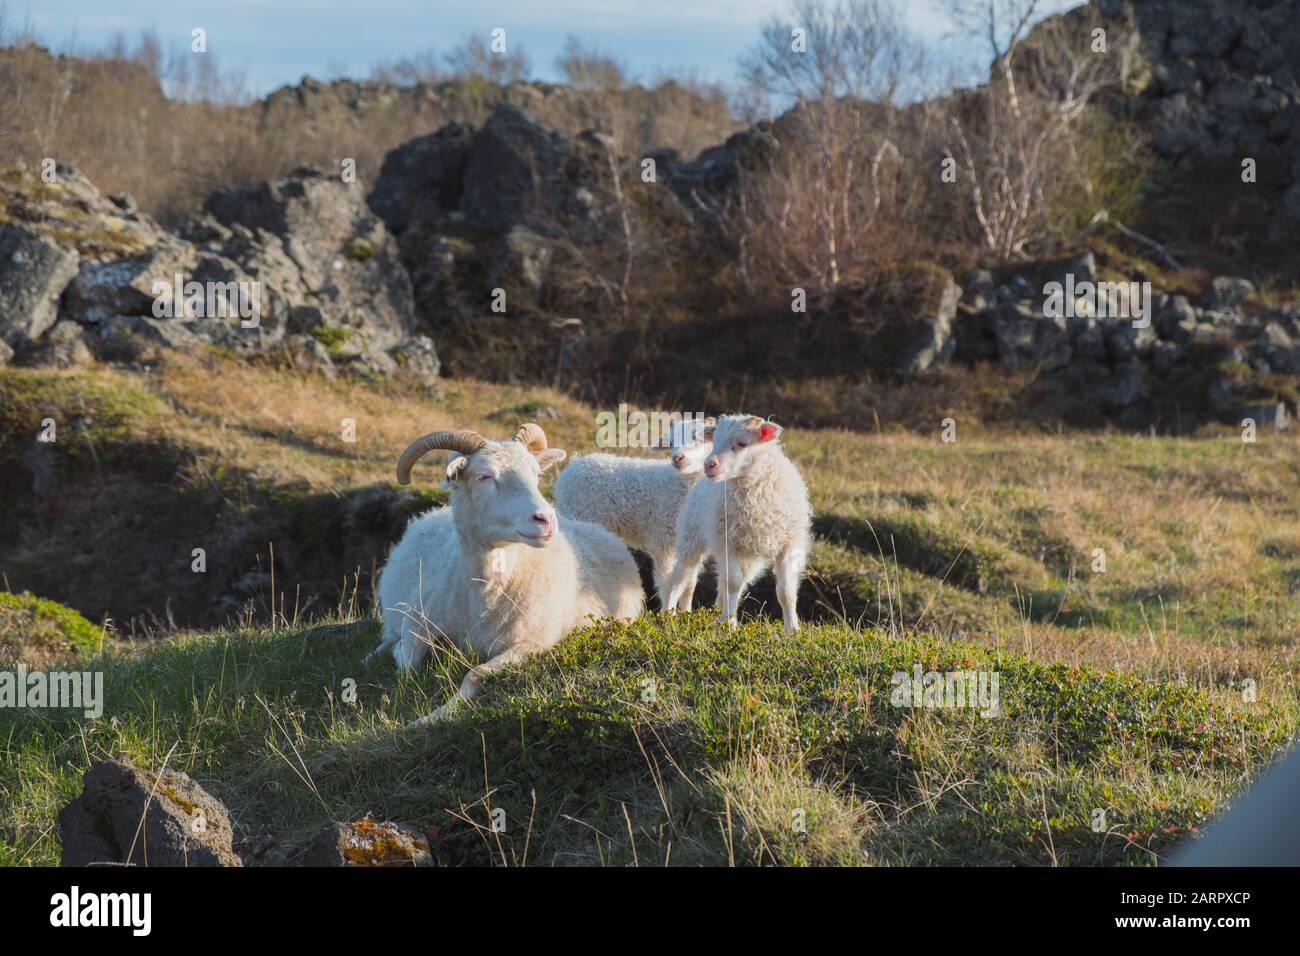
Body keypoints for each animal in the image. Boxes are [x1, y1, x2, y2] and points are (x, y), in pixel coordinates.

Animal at [369, 422, 644, 725]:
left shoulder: (533, 643)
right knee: (388, 638)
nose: (546, 519)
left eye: (536, 474)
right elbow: (406, 666)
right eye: (484, 476)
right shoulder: (418, 620)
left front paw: (431, 717)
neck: (489, 592)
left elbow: (475, 673)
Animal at [553, 416, 715, 606]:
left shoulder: (693, 545)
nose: (677, 458)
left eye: (700, 439)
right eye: (671, 442)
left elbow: (688, 585)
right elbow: (667, 584)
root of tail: (574, 464)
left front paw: (686, 612)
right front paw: (669, 613)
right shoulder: (663, 542)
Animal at [663, 414, 811, 632]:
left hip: (750, 557)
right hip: (691, 537)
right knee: (681, 576)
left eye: (742, 443)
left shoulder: (789, 545)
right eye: (714, 440)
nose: (709, 464)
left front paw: (793, 629)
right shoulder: (727, 542)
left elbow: (786, 592)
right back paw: (668, 615)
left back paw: (717, 614)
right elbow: (732, 583)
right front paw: (730, 625)